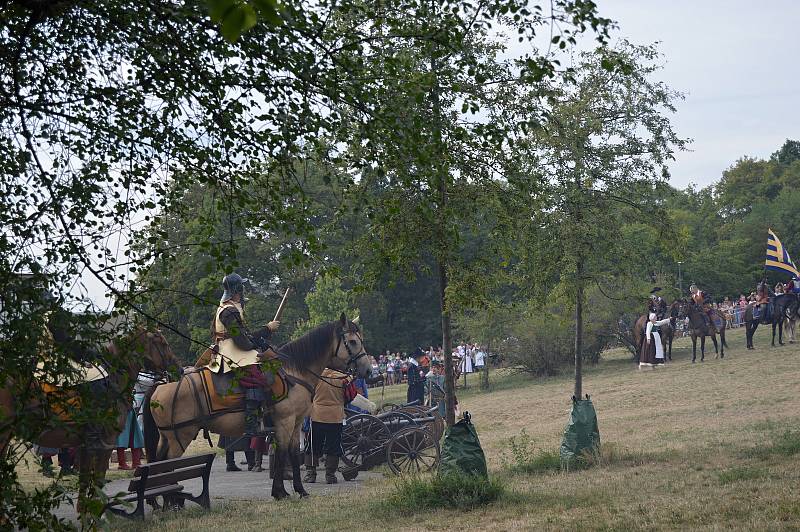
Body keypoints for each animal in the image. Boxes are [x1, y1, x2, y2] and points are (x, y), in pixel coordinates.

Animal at [0, 328, 178, 512]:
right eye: (164, 344)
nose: (178, 368)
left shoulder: (85, 445)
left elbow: (84, 480)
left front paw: (84, 511)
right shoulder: (107, 443)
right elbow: (98, 478)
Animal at [145, 312, 372, 498]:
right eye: (352, 341)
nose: (368, 370)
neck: (295, 372)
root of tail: (160, 386)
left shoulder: (296, 423)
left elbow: (292, 454)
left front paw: (298, 490)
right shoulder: (285, 422)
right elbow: (282, 454)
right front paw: (280, 492)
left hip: (167, 438)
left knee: (158, 465)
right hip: (179, 437)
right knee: (167, 466)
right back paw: (172, 501)